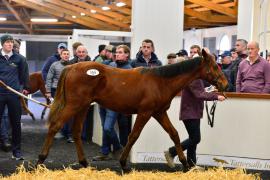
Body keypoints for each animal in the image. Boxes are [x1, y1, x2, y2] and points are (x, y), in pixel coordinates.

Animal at [37, 48, 228, 172]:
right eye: (215, 67)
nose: (225, 84)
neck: (161, 81)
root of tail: (71, 67)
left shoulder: (159, 113)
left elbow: (174, 134)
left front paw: (185, 164)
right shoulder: (145, 113)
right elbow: (133, 135)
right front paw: (123, 163)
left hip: (82, 107)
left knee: (76, 132)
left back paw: (84, 163)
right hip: (73, 105)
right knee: (55, 126)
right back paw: (41, 160)